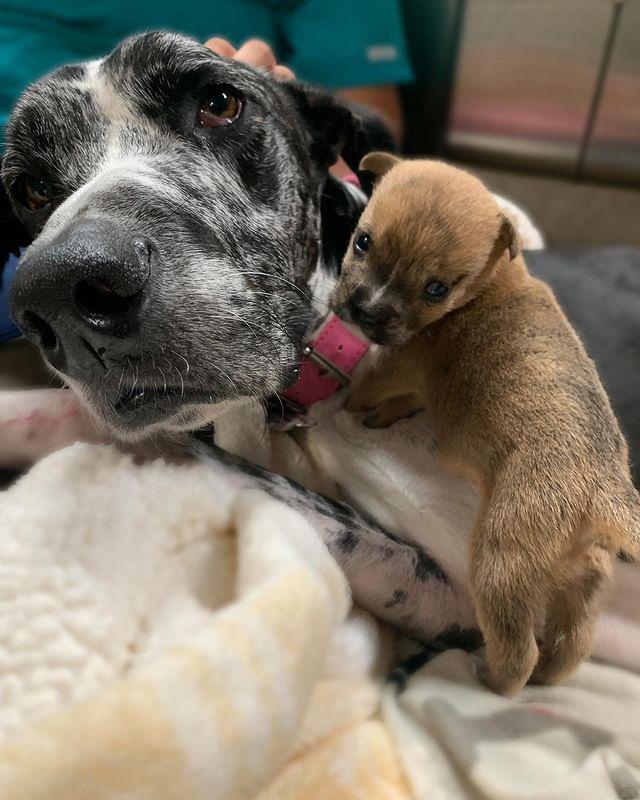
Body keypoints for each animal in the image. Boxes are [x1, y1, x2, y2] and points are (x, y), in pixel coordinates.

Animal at [332, 155, 636, 692]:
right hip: (584, 580)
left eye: (437, 289)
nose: (364, 311)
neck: (491, 281)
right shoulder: (416, 385)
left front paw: (347, 408)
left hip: (500, 566)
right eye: (362, 240)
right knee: (572, 643)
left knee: (518, 649)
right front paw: (380, 419)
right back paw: (547, 679)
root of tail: (607, 500)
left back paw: (490, 681)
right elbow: (398, 405)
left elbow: (364, 389)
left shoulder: (394, 364)